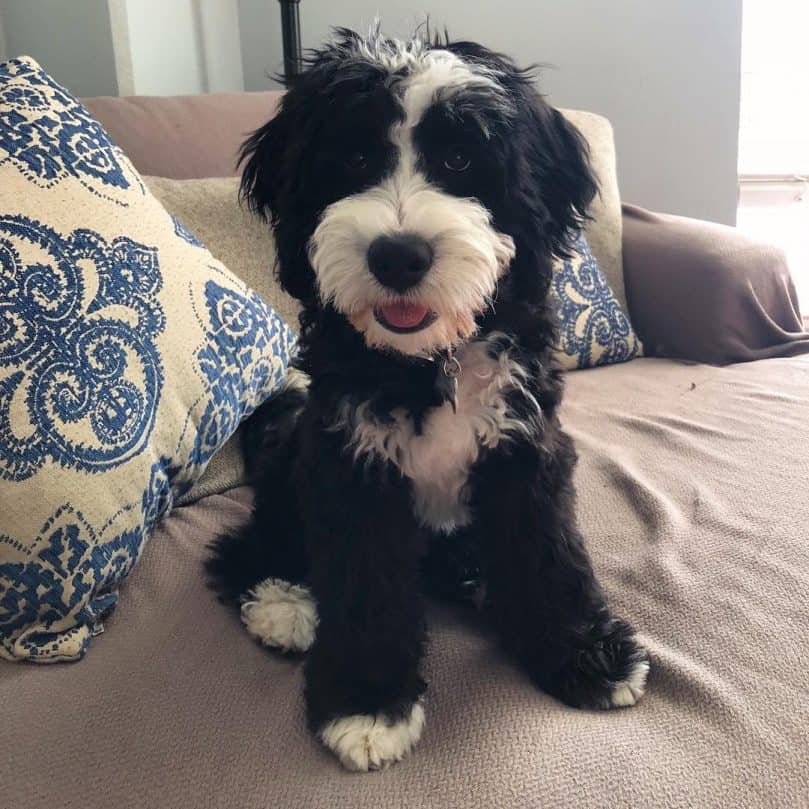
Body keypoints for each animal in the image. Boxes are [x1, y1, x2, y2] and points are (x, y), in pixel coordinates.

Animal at [208, 26, 652, 772]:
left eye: (459, 157)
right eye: (355, 157)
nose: (398, 256)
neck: (430, 360)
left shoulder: (524, 445)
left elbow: (548, 551)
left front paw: (585, 654)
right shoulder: (351, 463)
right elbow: (364, 586)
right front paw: (366, 702)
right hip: (294, 465)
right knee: (244, 547)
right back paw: (284, 603)